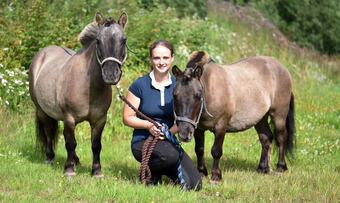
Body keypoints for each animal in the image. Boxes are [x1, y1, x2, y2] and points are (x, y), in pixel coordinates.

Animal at [28, 12, 127, 177]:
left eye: (124, 40)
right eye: (98, 41)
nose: (110, 74)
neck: (89, 87)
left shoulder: (100, 120)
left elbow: (96, 145)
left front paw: (96, 171)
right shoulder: (69, 117)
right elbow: (70, 143)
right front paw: (69, 169)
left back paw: (77, 161)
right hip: (42, 111)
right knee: (49, 133)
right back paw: (50, 158)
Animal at [173, 51, 294, 181]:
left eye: (198, 95)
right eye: (174, 95)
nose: (184, 133)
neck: (210, 88)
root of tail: (282, 68)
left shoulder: (221, 125)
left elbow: (216, 151)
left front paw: (216, 176)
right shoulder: (198, 128)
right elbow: (199, 150)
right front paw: (201, 172)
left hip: (279, 115)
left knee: (281, 137)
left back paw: (281, 167)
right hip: (260, 118)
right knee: (266, 138)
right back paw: (263, 168)